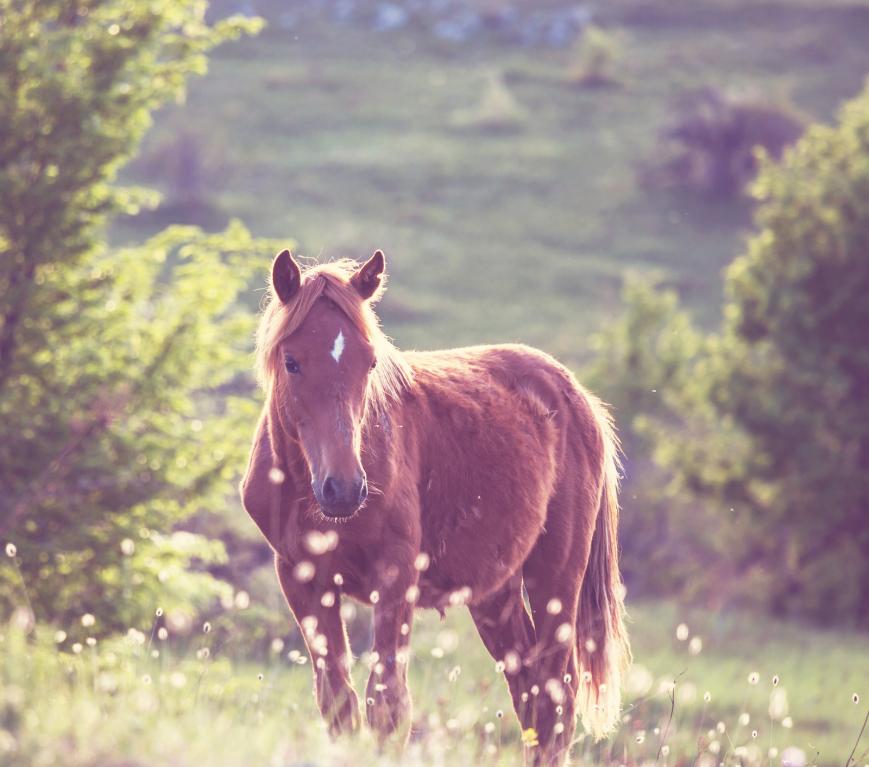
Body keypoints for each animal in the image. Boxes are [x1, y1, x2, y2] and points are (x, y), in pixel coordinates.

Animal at [240, 249, 630, 765]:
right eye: (292, 361)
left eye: (369, 362)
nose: (343, 489)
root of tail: (577, 398)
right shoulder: (303, 580)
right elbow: (339, 702)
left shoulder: (395, 579)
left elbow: (387, 704)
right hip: (496, 594)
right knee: (530, 697)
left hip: (556, 578)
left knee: (554, 701)